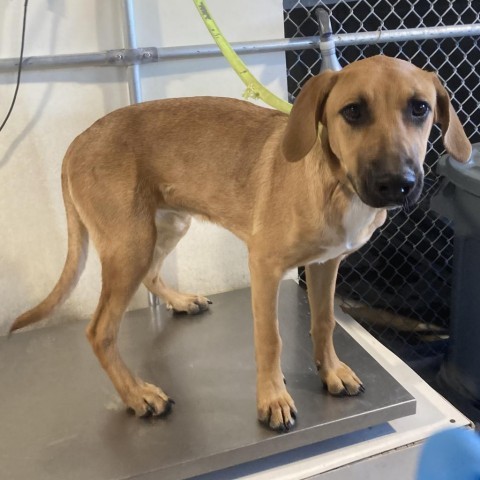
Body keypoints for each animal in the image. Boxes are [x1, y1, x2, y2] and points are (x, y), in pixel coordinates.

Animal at [10, 55, 468, 432]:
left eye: (420, 108)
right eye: (353, 111)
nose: (397, 184)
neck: (335, 184)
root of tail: (77, 142)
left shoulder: (325, 265)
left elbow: (323, 321)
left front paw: (331, 371)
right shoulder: (264, 266)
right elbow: (271, 338)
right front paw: (273, 399)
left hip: (165, 226)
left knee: (153, 276)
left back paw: (181, 302)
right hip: (130, 244)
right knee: (100, 331)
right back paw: (138, 395)